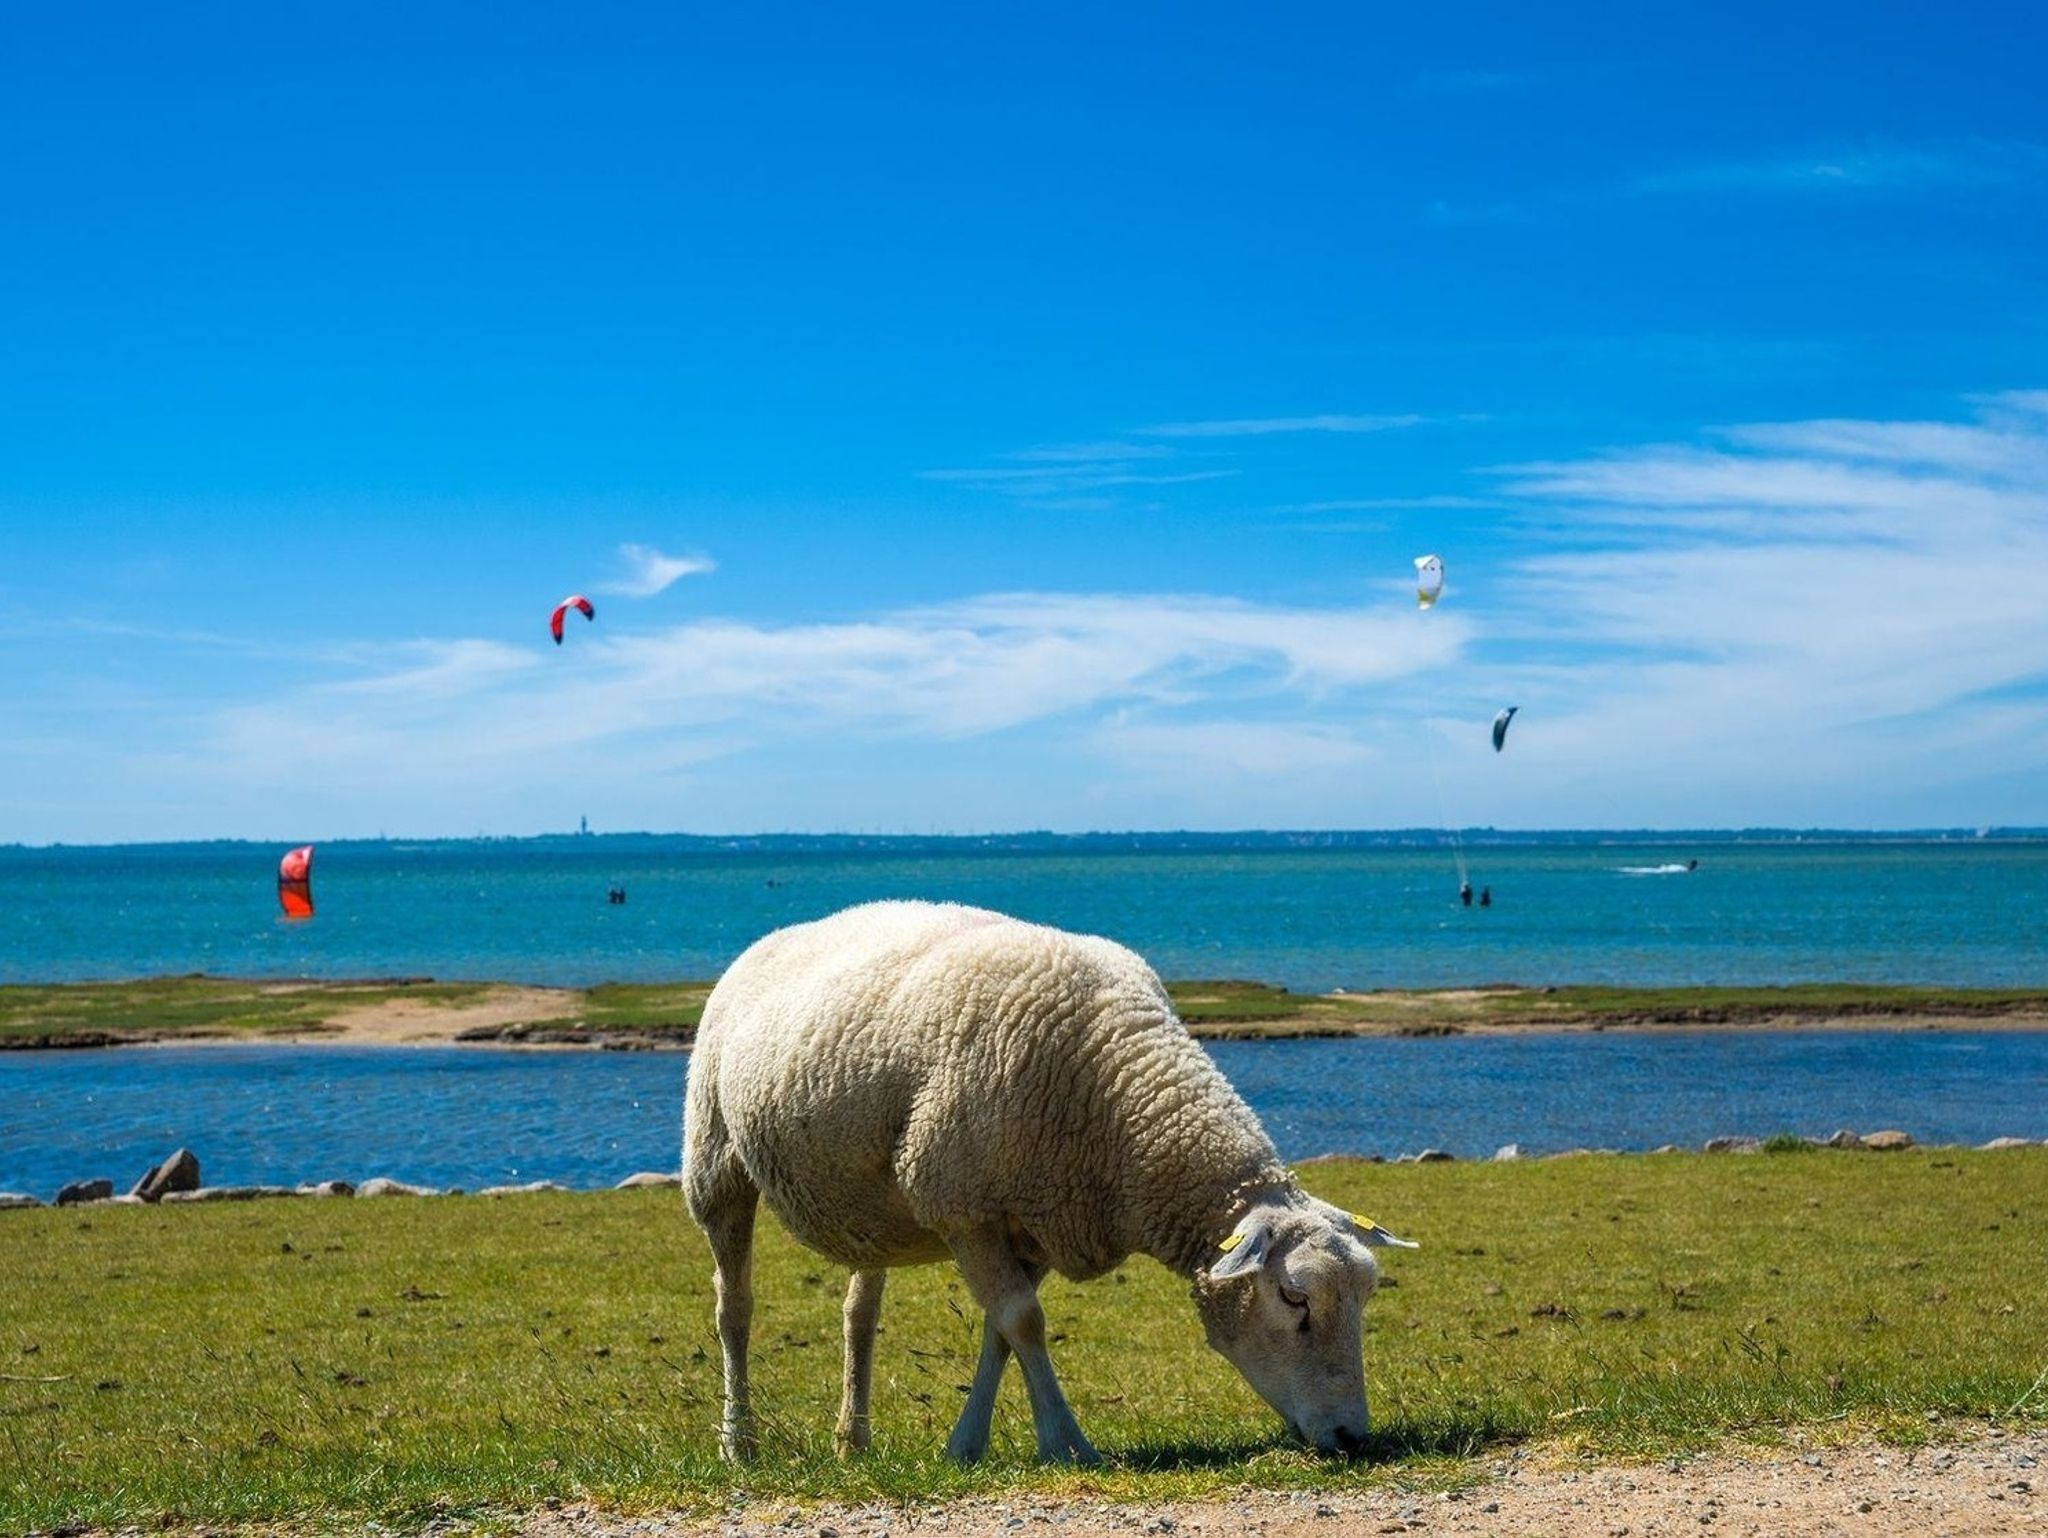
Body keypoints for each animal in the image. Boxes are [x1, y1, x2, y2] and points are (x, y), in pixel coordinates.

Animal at [684, 901, 1409, 1466]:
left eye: (1366, 1298)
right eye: (1294, 1299)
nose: (1353, 1438)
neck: (1120, 1102)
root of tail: (779, 935)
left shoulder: (1034, 1218)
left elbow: (999, 1332)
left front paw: (965, 1447)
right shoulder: (964, 1207)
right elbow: (1023, 1323)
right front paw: (1067, 1443)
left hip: (872, 1207)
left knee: (858, 1316)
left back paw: (851, 1442)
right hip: (715, 1159)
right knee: (733, 1307)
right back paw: (738, 1443)